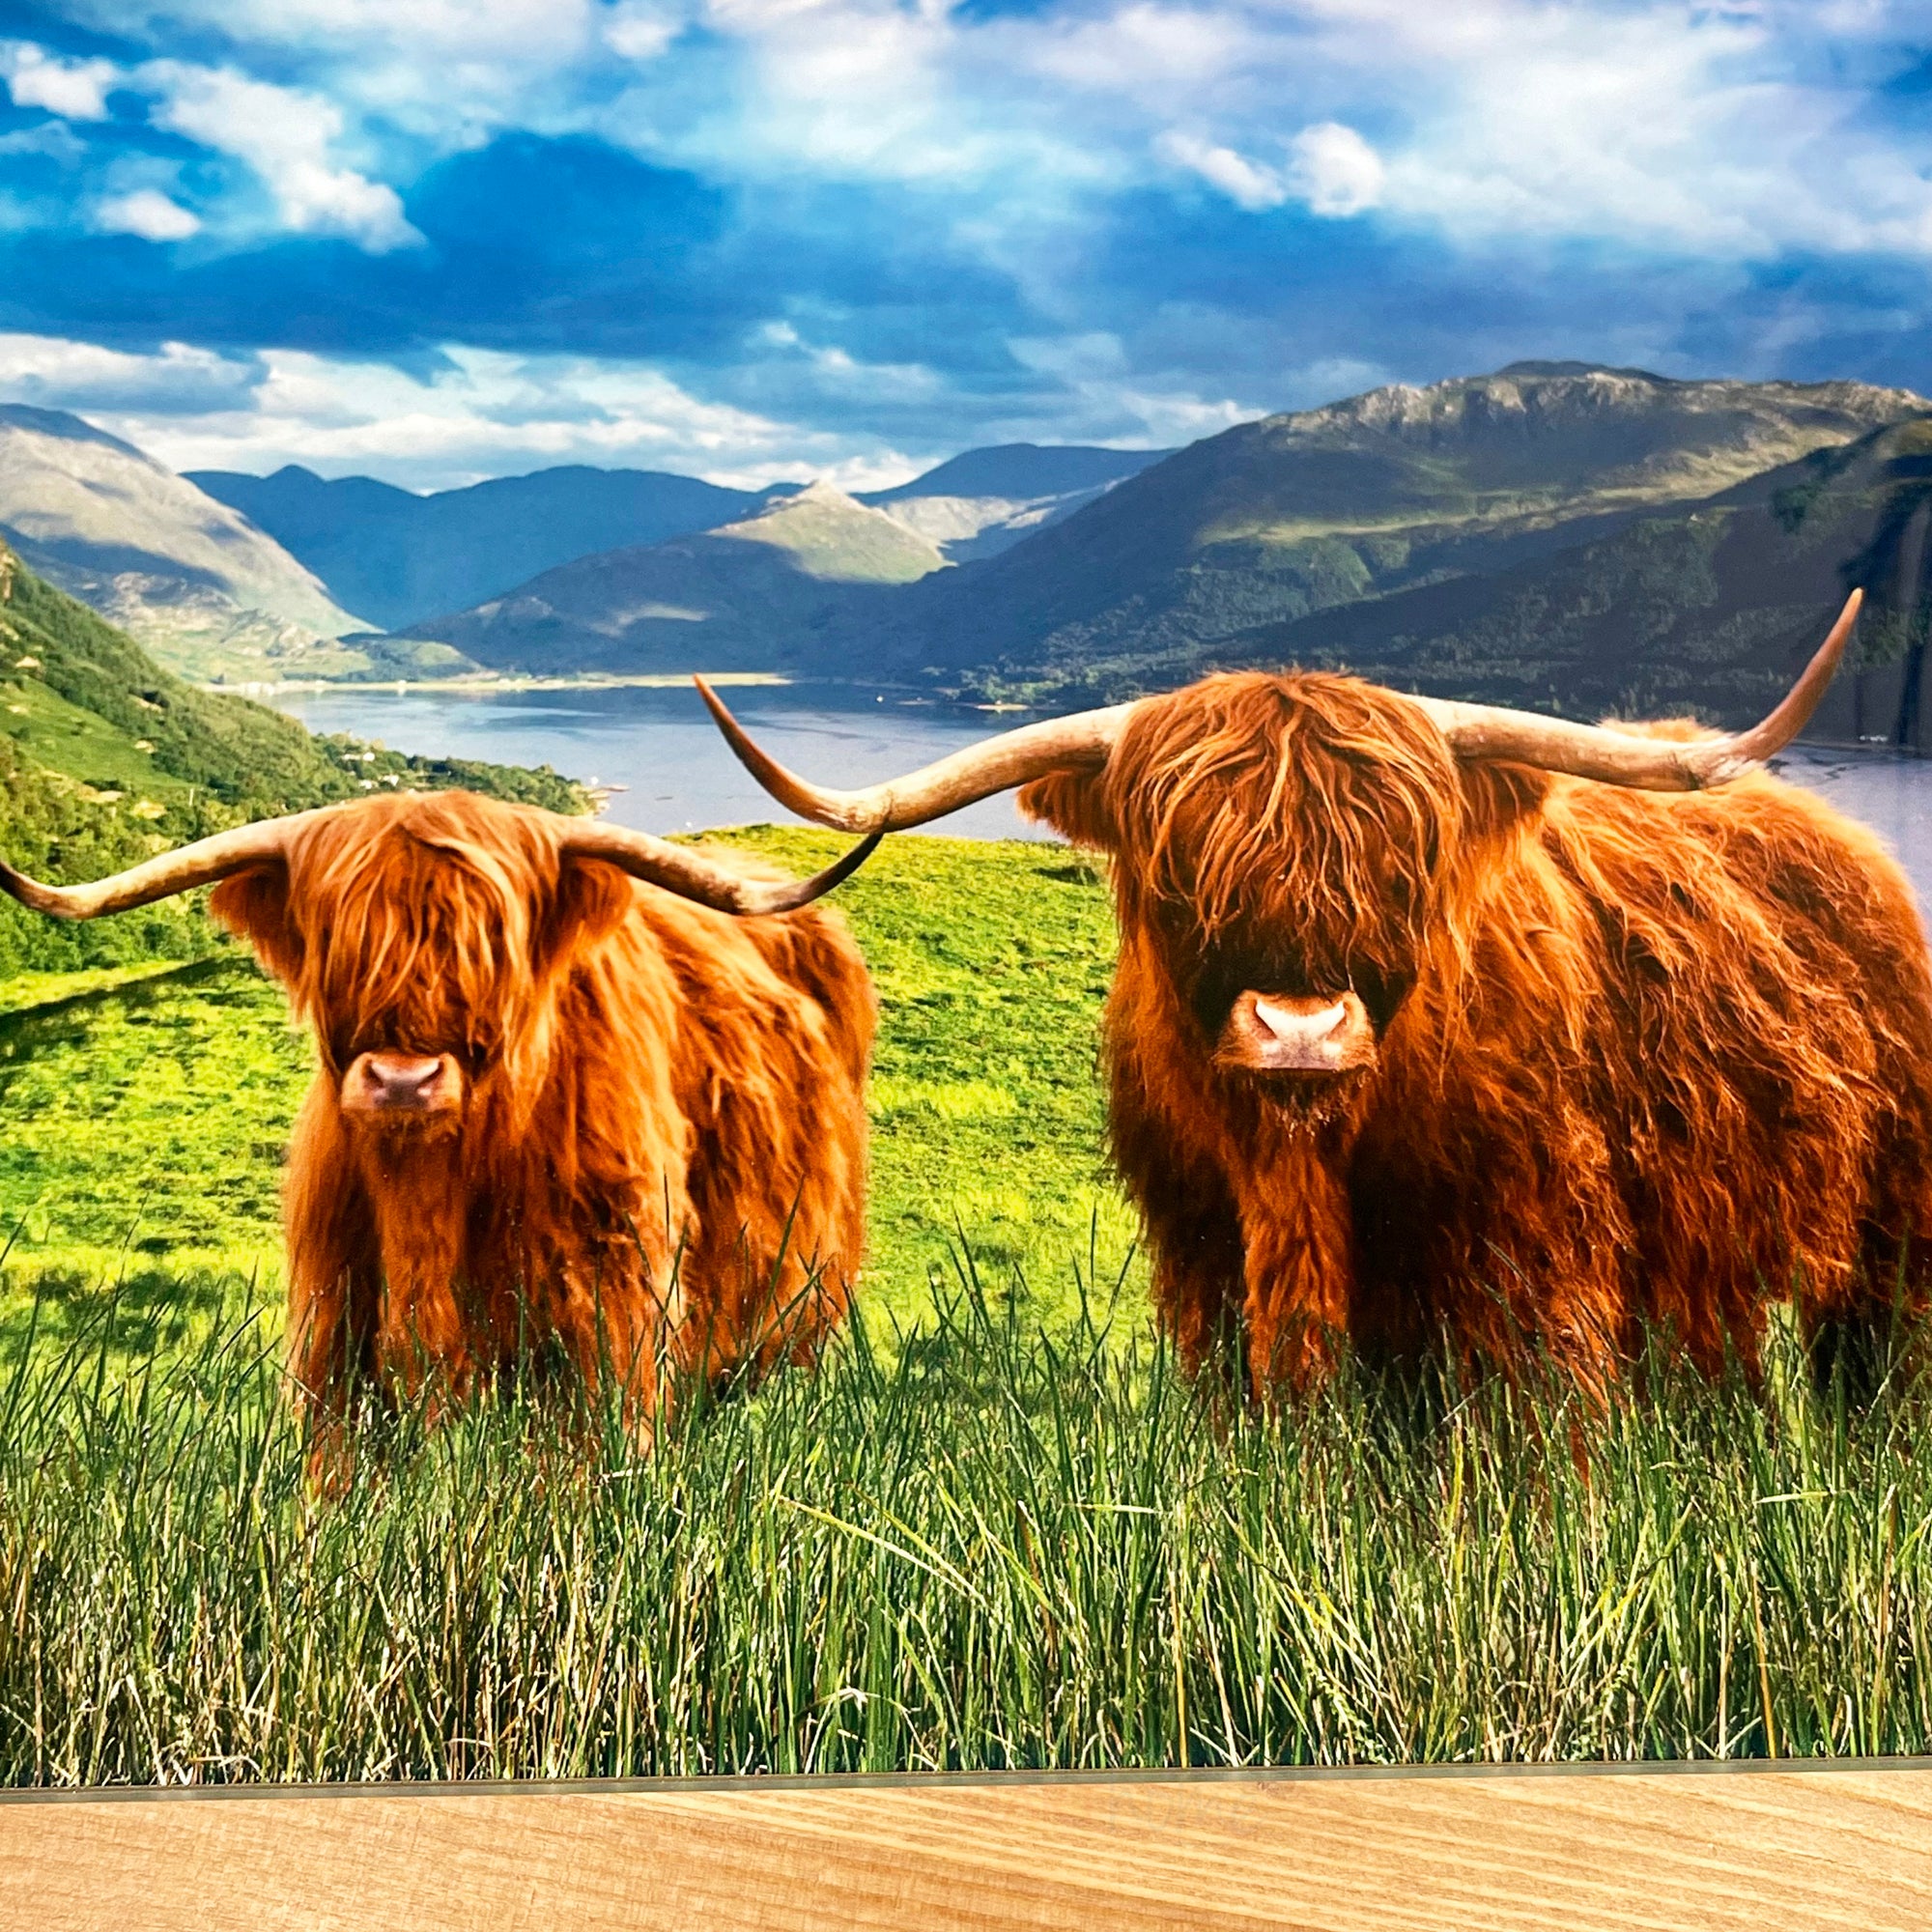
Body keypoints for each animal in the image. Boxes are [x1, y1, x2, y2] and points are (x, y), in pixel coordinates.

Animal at [0, 791, 880, 1480]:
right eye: (339, 941)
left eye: (490, 945)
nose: (401, 1080)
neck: (431, 1190)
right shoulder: (337, 1323)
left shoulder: (609, 1303)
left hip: (800, 1304)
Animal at [696, 591, 1932, 1397]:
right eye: (1178, 861)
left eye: (1405, 861)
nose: (1300, 1030)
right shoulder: (1205, 1260)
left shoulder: (1532, 1265)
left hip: (1884, 1236)